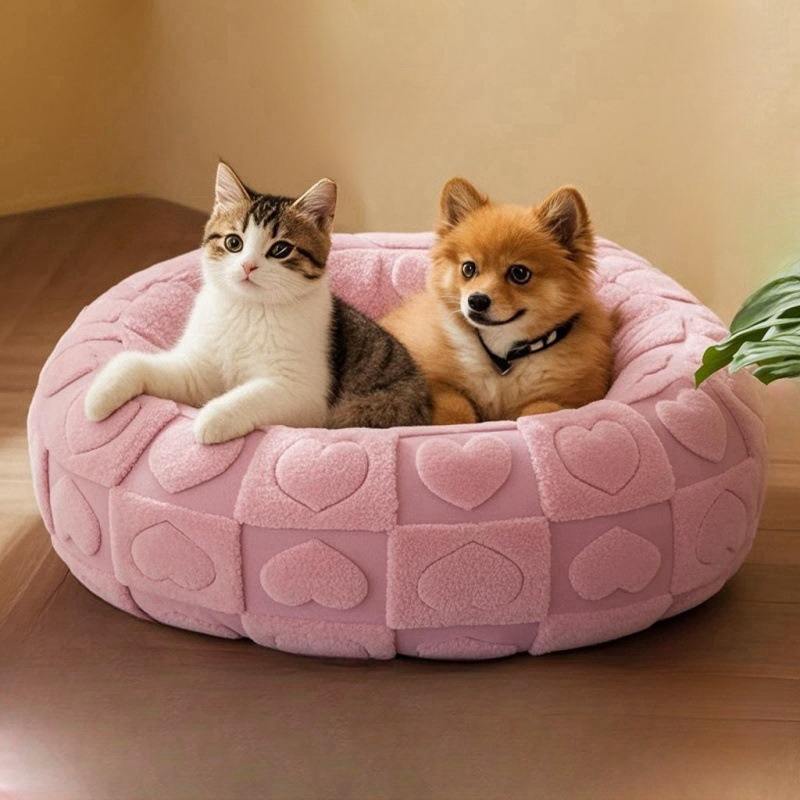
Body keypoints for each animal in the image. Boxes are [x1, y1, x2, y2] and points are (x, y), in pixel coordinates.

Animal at [84, 162, 431, 442]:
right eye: (233, 242)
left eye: (280, 249)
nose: (248, 266)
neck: (248, 309)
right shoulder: (198, 369)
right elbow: (135, 363)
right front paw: (99, 395)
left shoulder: (301, 392)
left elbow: (249, 396)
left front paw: (211, 418)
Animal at [380, 177, 614, 424]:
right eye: (468, 268)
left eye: (519, 273)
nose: (476, 300)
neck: (503, 354)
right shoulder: (437, 382)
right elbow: (455, 407)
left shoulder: (576, 399)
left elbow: (542, 408)